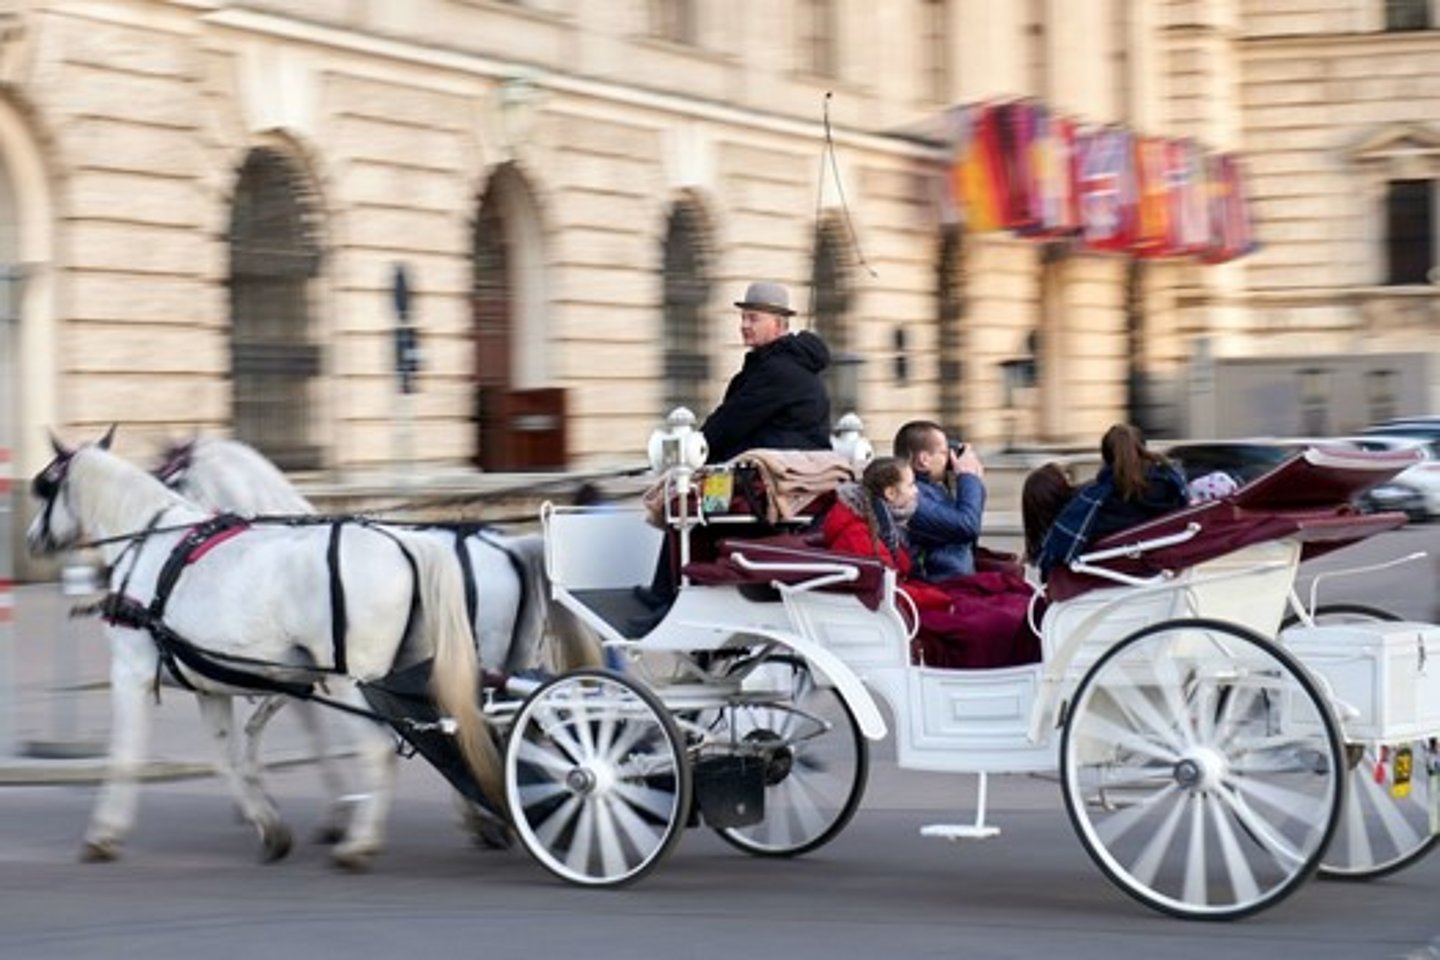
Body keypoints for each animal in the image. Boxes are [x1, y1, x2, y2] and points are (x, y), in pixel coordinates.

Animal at [28, 431, 501, 869]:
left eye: (47, 487)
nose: (33, 539)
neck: (150, 546)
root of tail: (407, 545)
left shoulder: (132, 674)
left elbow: (126, 756)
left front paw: (103, 835)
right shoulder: (213, 685)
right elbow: (229, 756)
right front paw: (269, 823)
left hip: (354, 683)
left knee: (379, 749)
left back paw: (360, 845)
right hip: (410, 674)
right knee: (448, 731)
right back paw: (478, 813)